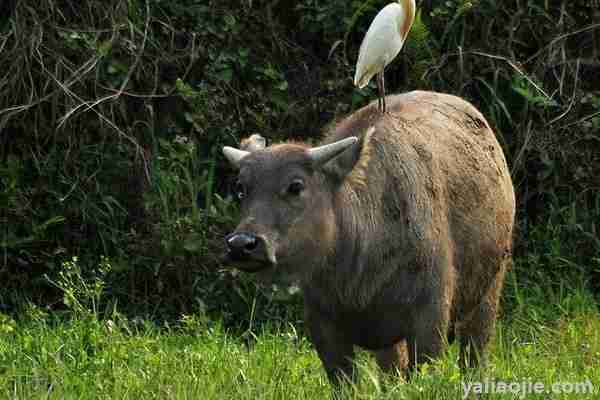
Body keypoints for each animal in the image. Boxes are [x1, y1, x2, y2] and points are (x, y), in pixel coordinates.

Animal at [223, 91, 512, 384]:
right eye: (241, 188)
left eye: (296, 186)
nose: (242, 245)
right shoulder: (323, 324)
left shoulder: (430, 316)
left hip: (490, 289)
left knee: (474, 351)